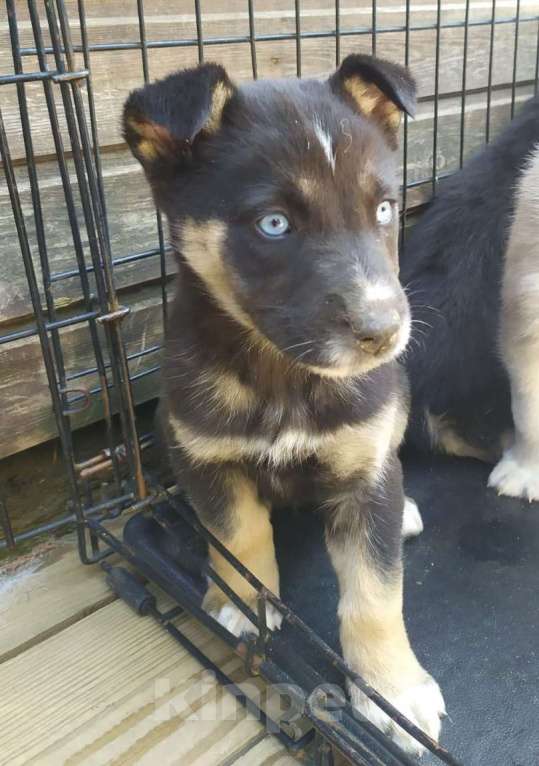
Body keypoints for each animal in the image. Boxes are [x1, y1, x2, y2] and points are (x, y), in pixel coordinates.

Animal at [124, 55, 446, 756]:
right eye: (274, 224)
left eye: (386, 208)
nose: (384, 332)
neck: (283, 374)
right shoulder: (205, 457)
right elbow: (237, 536)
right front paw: (238, 604)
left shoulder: (364, 472)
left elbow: (375, 592)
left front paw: (393, 691)